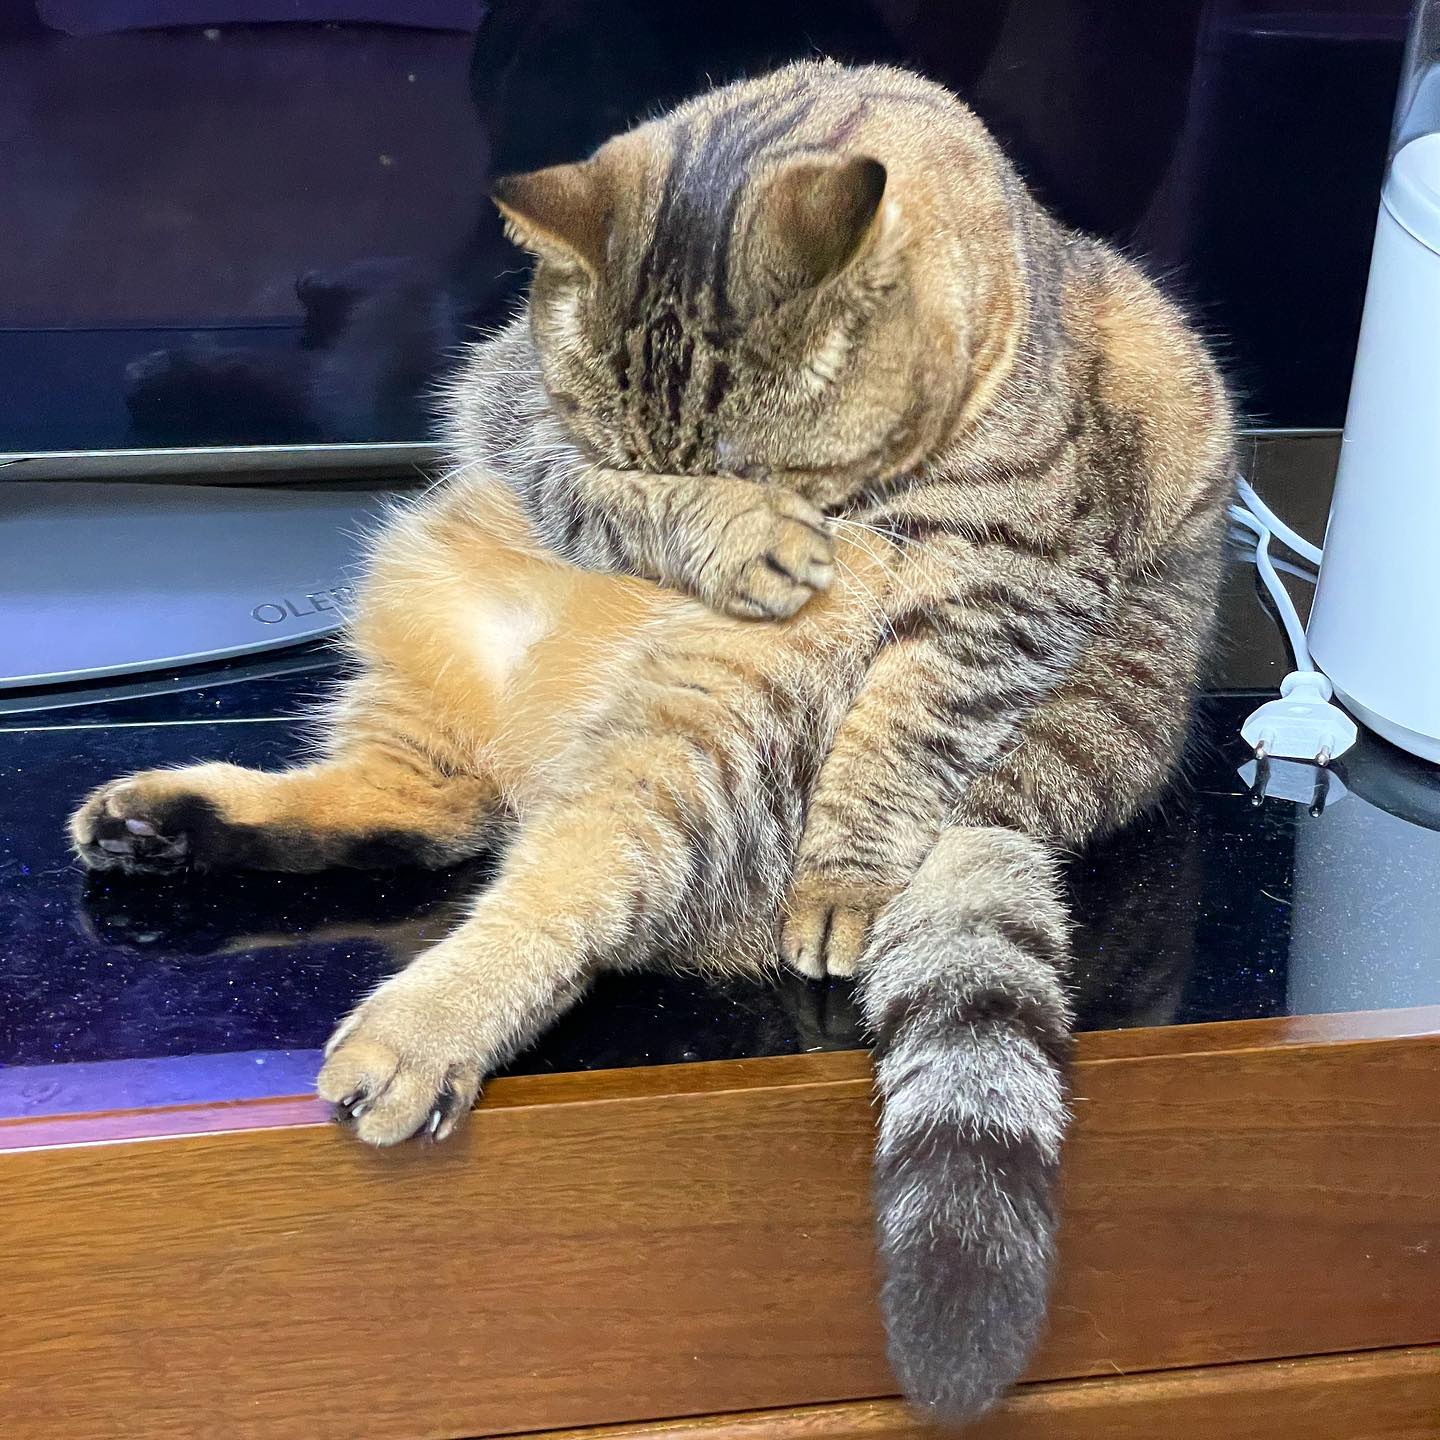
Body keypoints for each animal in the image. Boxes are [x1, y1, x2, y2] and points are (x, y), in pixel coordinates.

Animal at [70, 61, 1234, 1423]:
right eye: (648, 459)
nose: (766, 529)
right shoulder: (516, 407)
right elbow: (589, 479)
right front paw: (705, 526)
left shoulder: (1011, 582)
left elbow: (904, 736)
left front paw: (845, 865)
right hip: (432, 585)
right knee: (429, 808)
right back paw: (168, 821)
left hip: (699, 737)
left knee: (559, 884)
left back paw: (425, 1020)